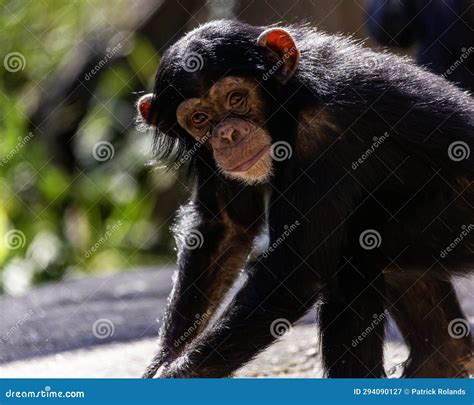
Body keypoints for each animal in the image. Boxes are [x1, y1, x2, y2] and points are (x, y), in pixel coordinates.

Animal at [135, 19, 472, 378]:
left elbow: (294, 274)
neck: (288, 104)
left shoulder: (323, 133)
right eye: (200, 119)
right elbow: (226, 227)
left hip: (459, 221)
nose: (227, 133)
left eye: (236, 98)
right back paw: (443, 357)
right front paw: (165, 358)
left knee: (355, 257)